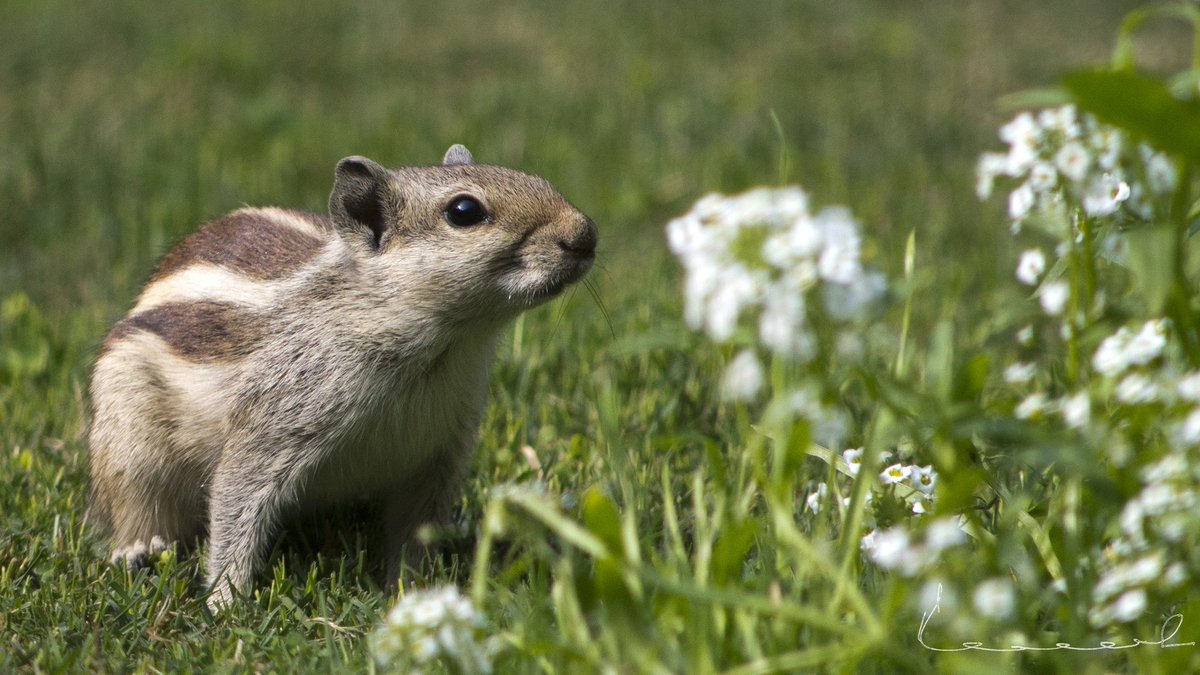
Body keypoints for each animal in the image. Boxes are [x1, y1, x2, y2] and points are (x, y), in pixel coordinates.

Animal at [87, 145, 597, 609]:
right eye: (464, 211)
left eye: (533, 175)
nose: (585, 234)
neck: (443, 347)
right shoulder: (277, 421)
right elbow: (237, 497)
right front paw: (226, 601)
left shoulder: (440, 452)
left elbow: (417, 528)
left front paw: (410, 589)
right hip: (131, 444)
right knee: (137, 505)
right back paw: (138, 551)